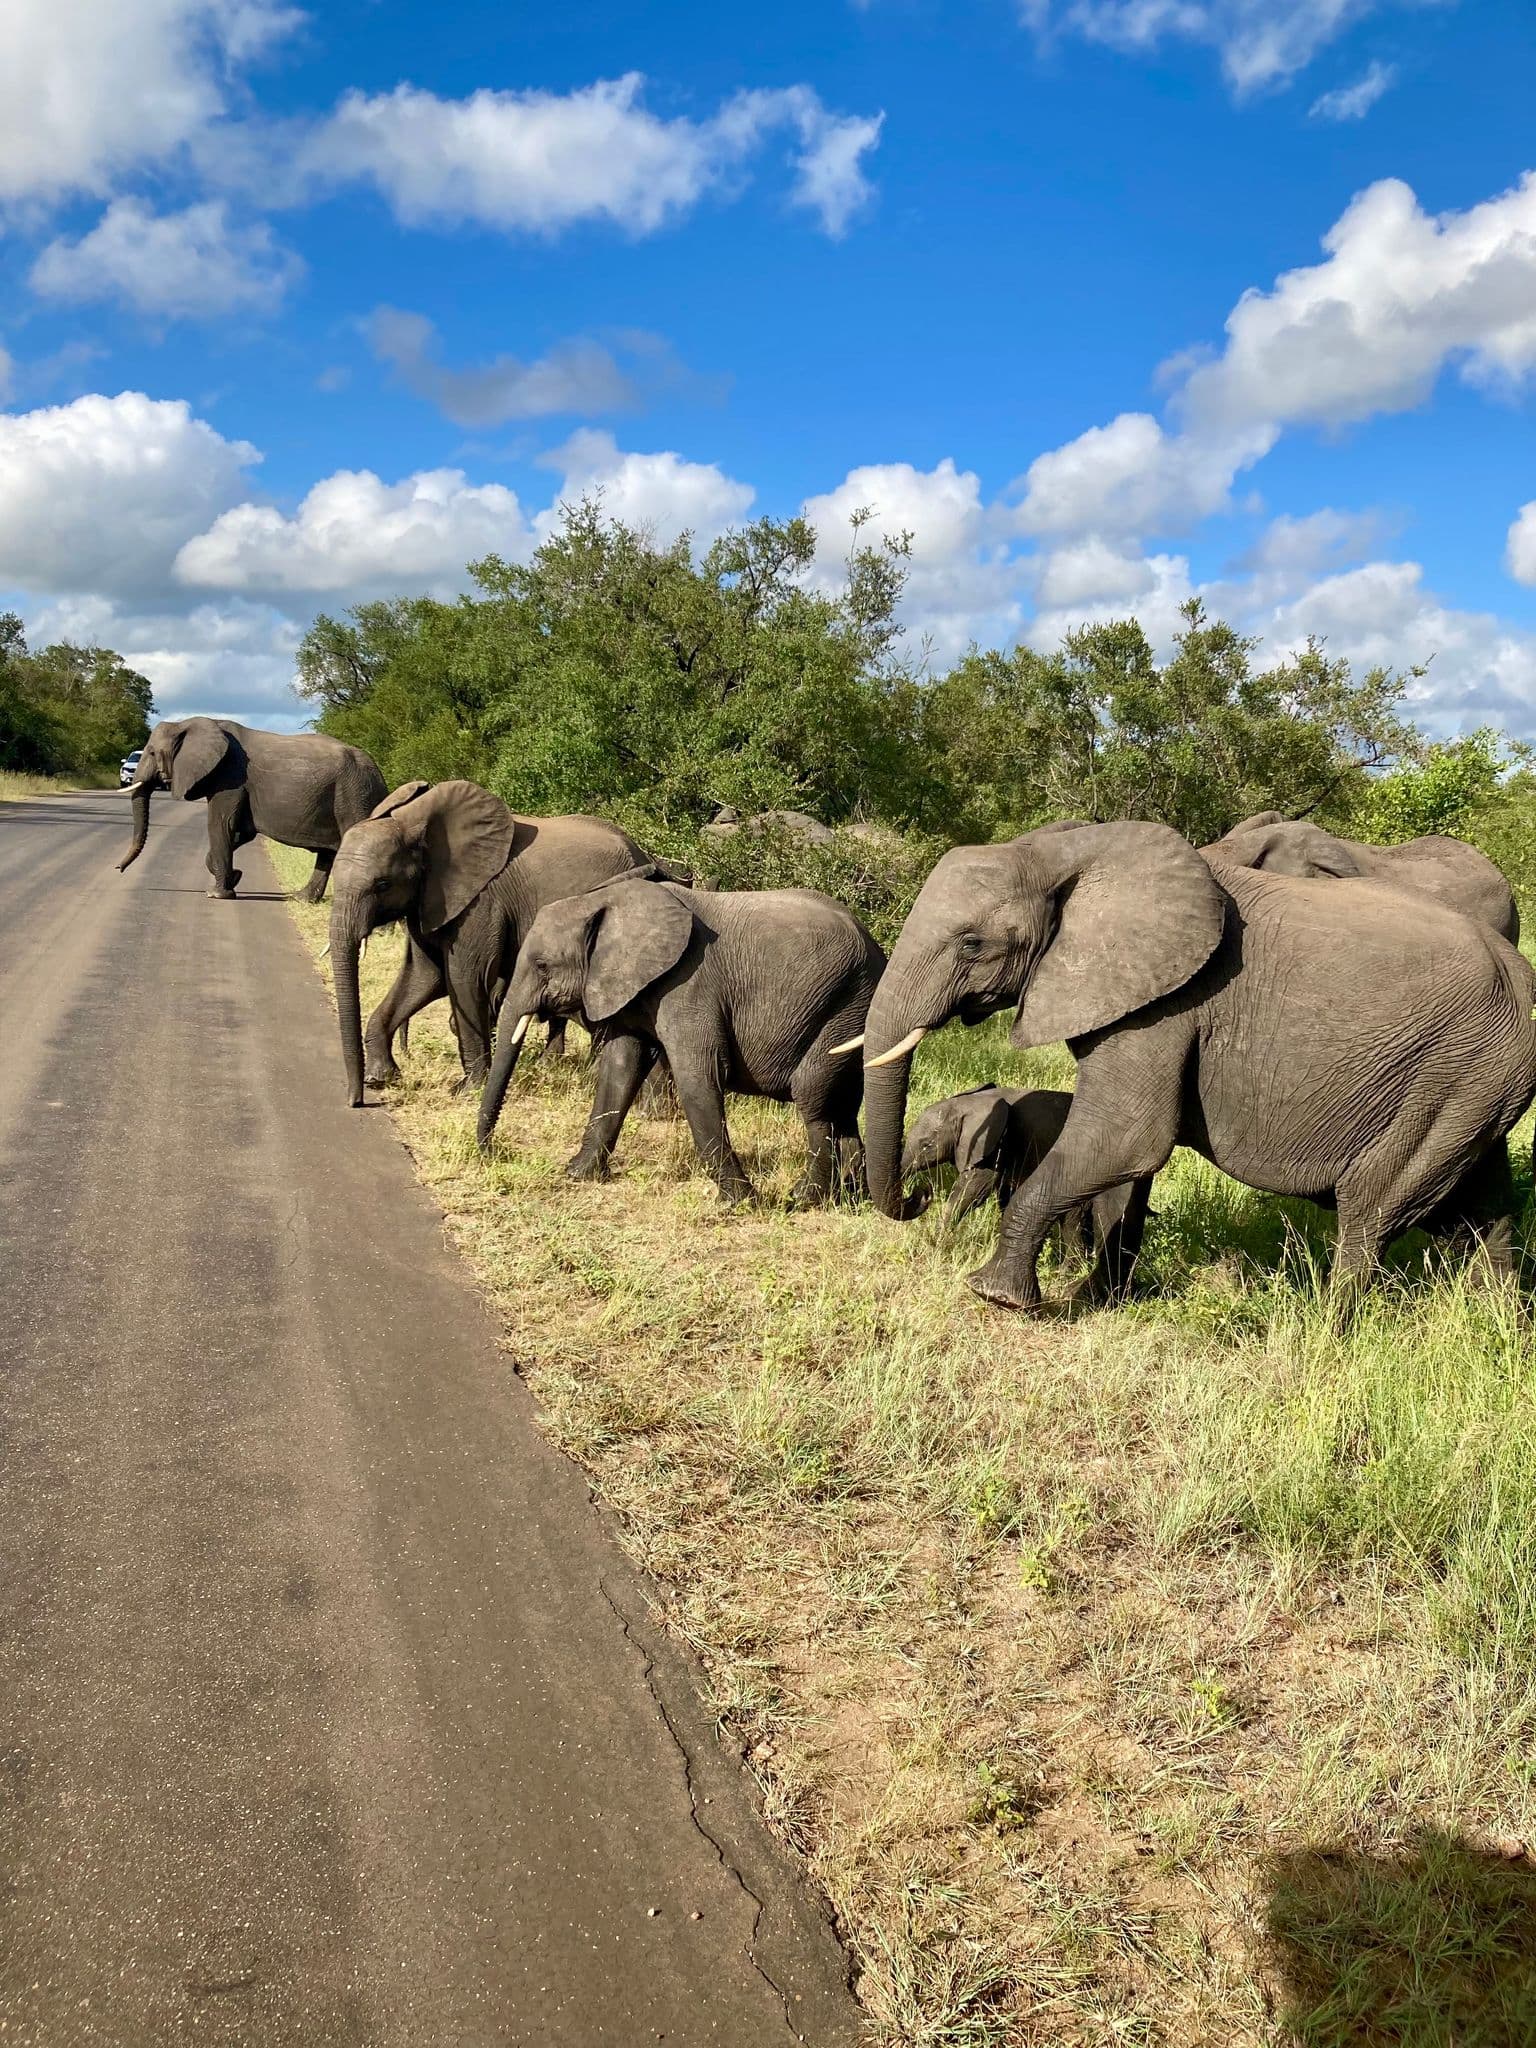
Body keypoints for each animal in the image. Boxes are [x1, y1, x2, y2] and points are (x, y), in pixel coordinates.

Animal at [117, 718, 386, 902]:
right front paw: (233, 878)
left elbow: (221, 825)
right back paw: (302, 899)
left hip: (355, 795)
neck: (187, 723)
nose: (118, 869)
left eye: (152, 752)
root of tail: (379, 773)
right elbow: (241, 832)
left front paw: (217, 894)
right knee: (328, 854)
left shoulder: (230, 777)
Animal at [329, 779, 674, 1108]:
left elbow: (465, 979)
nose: (356, 1101)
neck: (415, 824)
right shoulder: (430, 899)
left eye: (382, 885)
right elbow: (423, 977)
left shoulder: (482, 903)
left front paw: (468, 1090)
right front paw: (381, 1076)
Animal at [476, 875, 884, 1205]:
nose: (491, 1152)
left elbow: (698, 1075)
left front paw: (741, 1202)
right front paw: (578, 1174)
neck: (607, 900)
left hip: (848, 1005)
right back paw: (853, 1199)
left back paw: (802, 1199)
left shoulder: (689, 984)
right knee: (841, 1104)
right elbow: (620, 1069)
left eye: (543, 966)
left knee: (813, 1097)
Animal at [900, 1085, 1150, 1293]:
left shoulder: (997, 1145)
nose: (923, 1192)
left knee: (1073, 1220)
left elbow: (975, 1188)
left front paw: (937, 1243)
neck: (973, 1101)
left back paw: (1066, 1275)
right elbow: (1004, 1195)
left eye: (926, 1145)